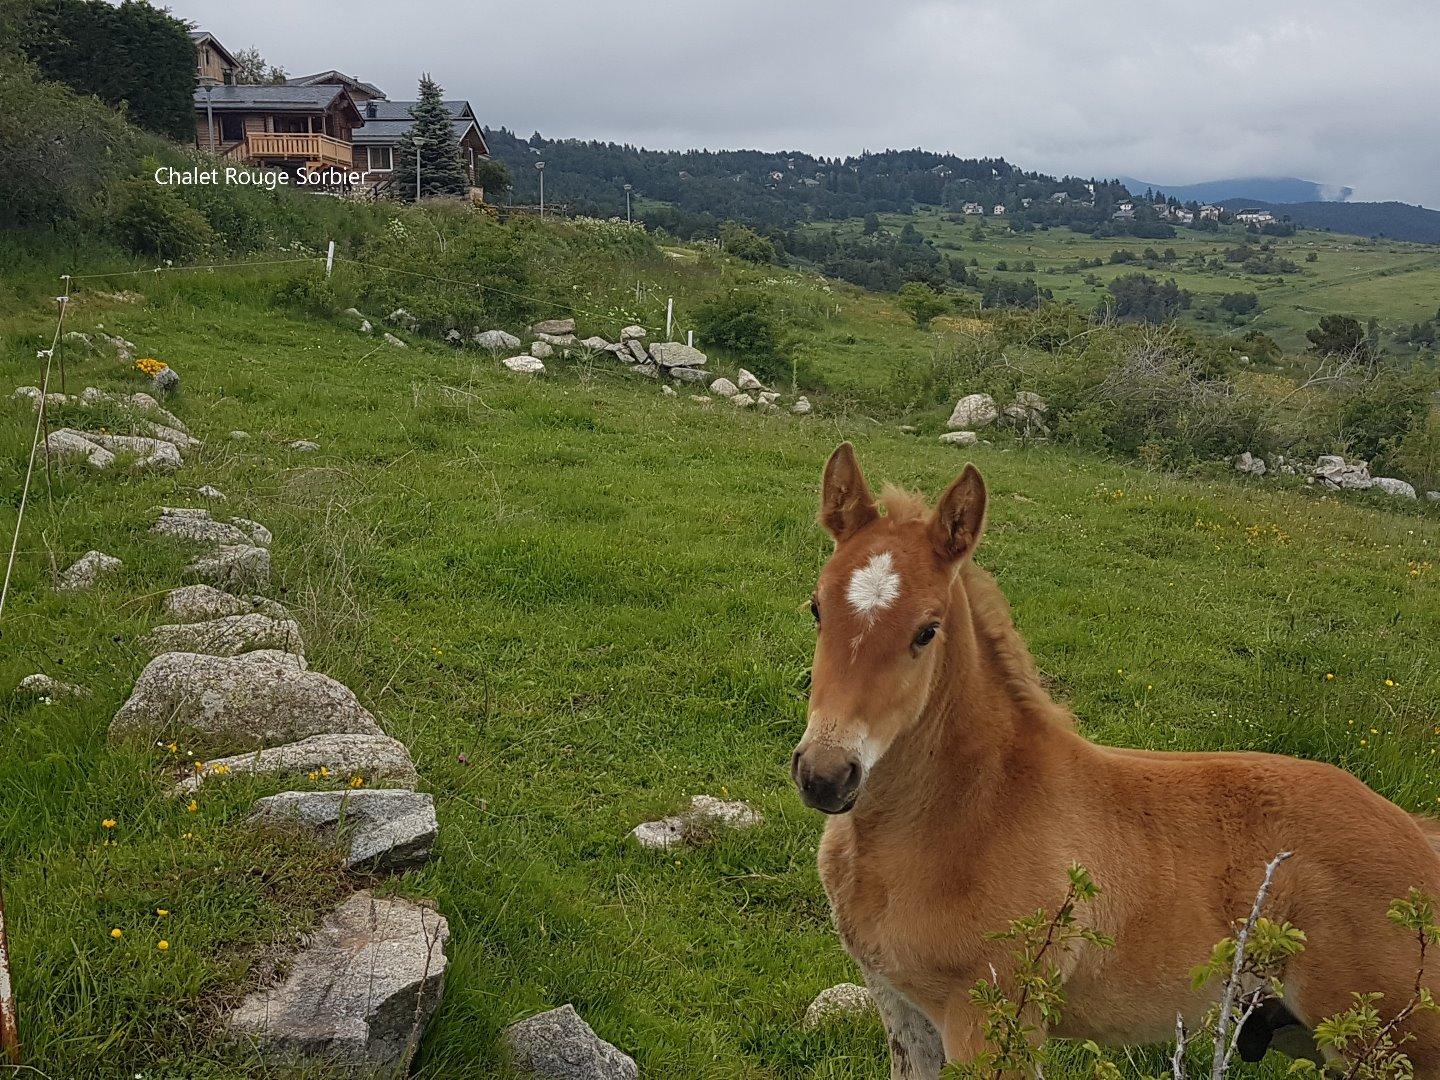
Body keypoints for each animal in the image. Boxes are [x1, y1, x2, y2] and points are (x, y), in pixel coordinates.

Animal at [790, 442, 1440, 1078]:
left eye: (927, 631)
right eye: (817, 608)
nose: (826, 774)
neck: (973, 812)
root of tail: (1418, 837)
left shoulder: (995, 1022)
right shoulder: (898, 1004)